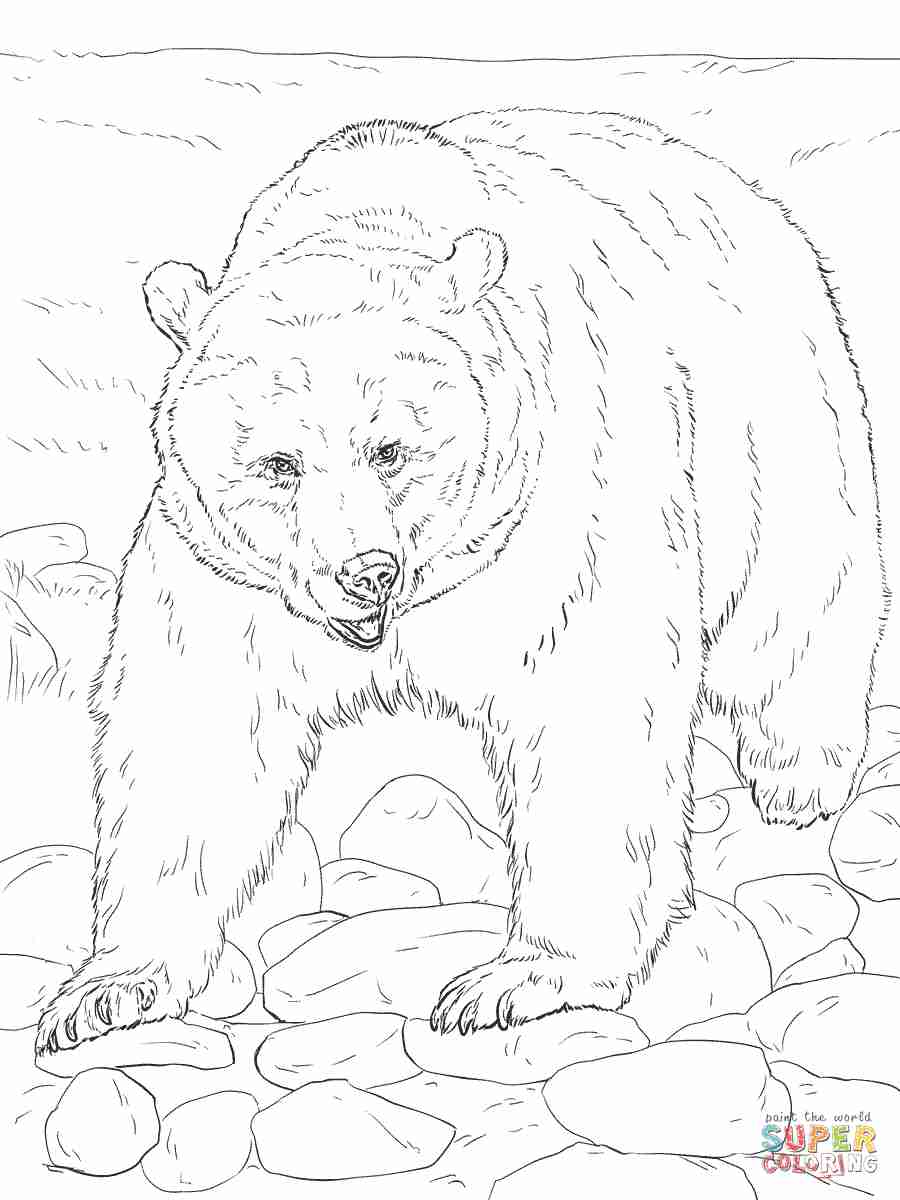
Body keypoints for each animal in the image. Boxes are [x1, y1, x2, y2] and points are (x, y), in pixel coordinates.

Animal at [37, 108, 887, 1051]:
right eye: (278, 464)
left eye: (391, 448)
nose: (365, 573)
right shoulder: (226, 579)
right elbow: (195, 730)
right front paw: (110, 986)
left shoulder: (565, 498)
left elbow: (592, 702)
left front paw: (518, 977)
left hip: (772, 402)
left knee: (794, 597)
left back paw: (799, 772)